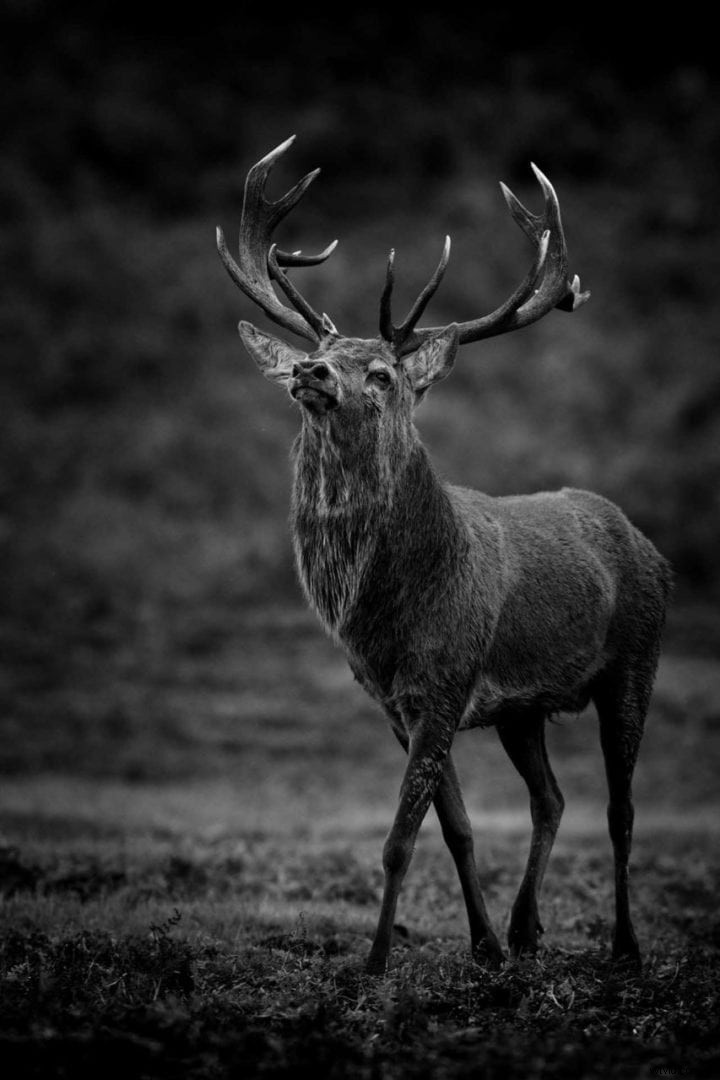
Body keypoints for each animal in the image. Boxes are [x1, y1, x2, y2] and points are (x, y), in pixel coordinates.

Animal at [216, 136, 671, 975]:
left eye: (381, 372)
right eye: (319, 349)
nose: (309, 372)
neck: (388, 617)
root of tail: (646, 543)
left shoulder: (448, 677)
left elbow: (400, 840)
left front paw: (373, 962)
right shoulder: (399, 701)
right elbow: (454, 829)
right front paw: (484, 946)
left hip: (636, 659)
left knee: (622, 808)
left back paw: (625, 946)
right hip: (527, 708)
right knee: (552, 797)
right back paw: (526, 930)